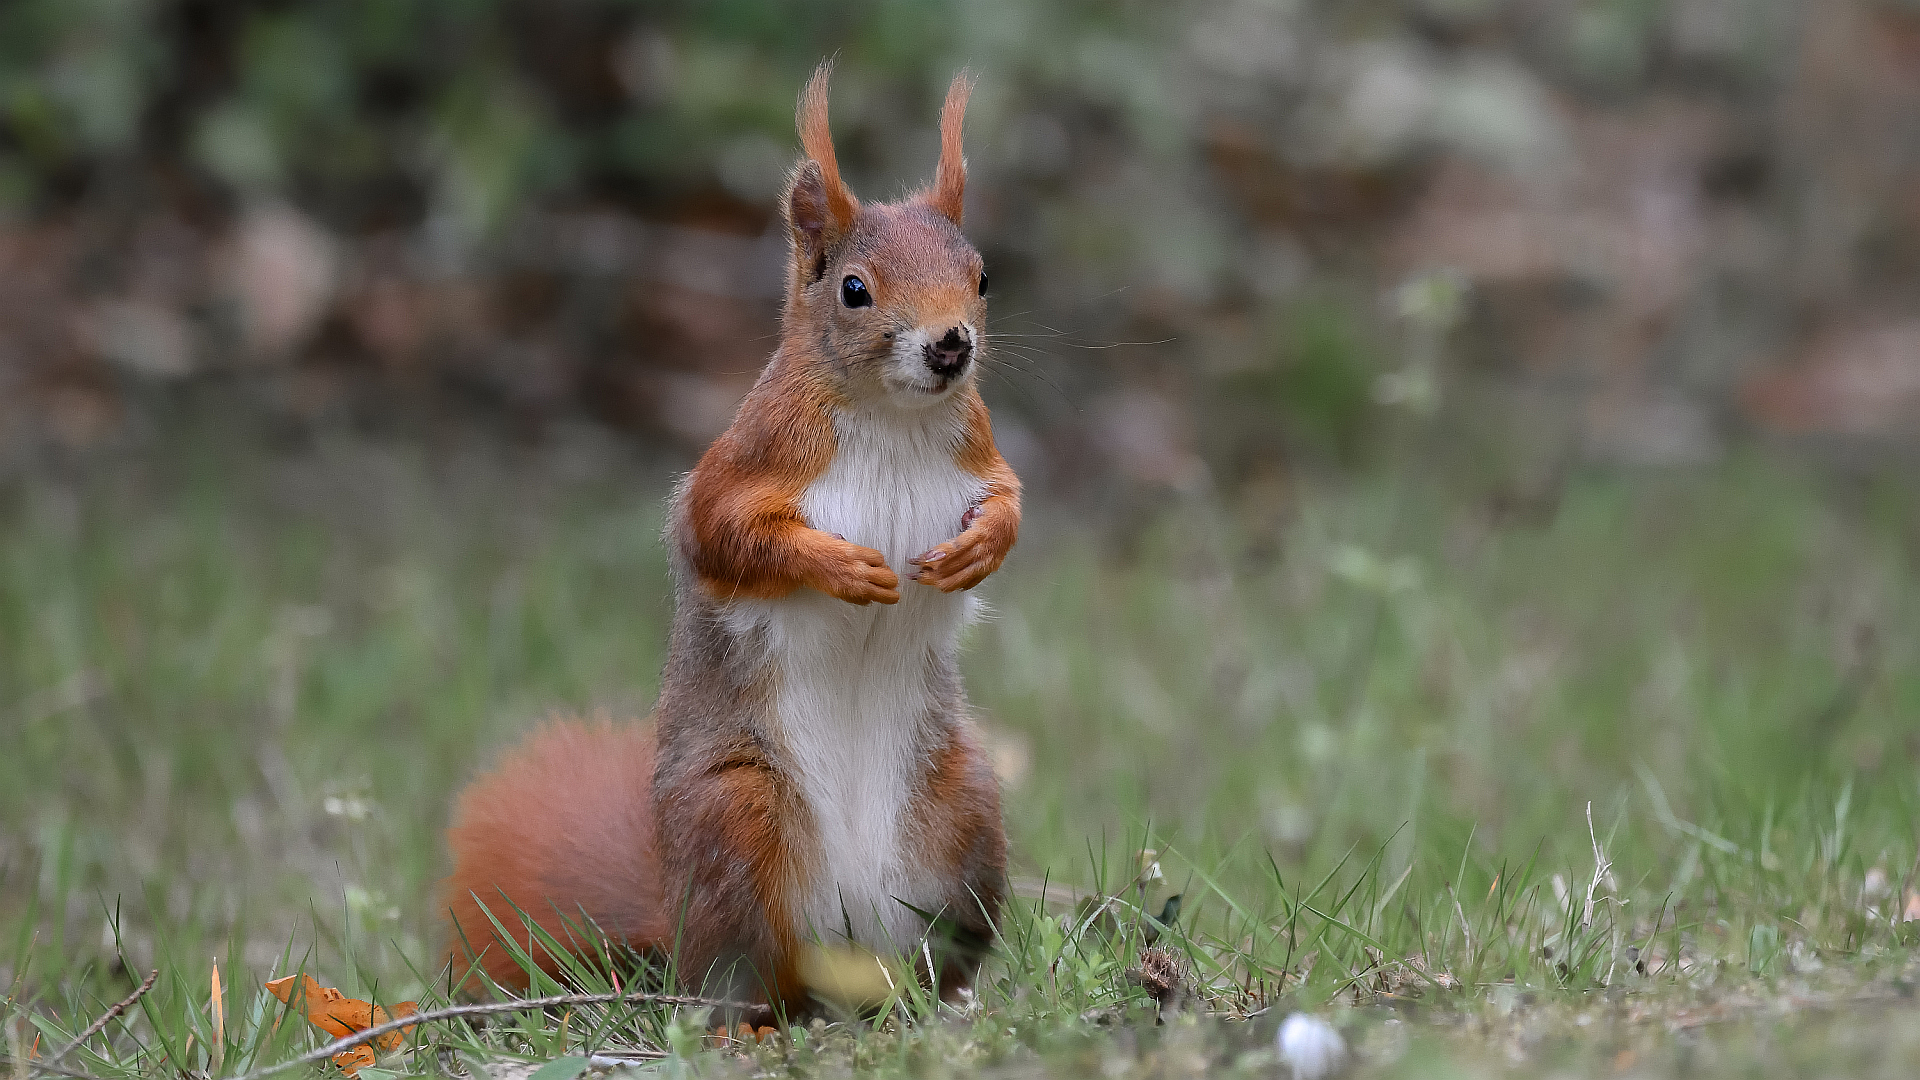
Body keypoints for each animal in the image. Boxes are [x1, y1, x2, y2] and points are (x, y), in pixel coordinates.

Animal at [439, 62, 1021, 1022]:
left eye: (982, 275)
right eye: (854, 288)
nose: (950, 346)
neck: (893, 418)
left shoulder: (978, 450)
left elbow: (1011, 502)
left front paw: (978, 552)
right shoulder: (752, 458)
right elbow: (723, 535)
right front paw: (842, 567)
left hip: (964, 812)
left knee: (936, 949)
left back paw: (946, 1001)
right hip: (740, 820)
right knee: (740, 980)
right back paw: (751, 1020)